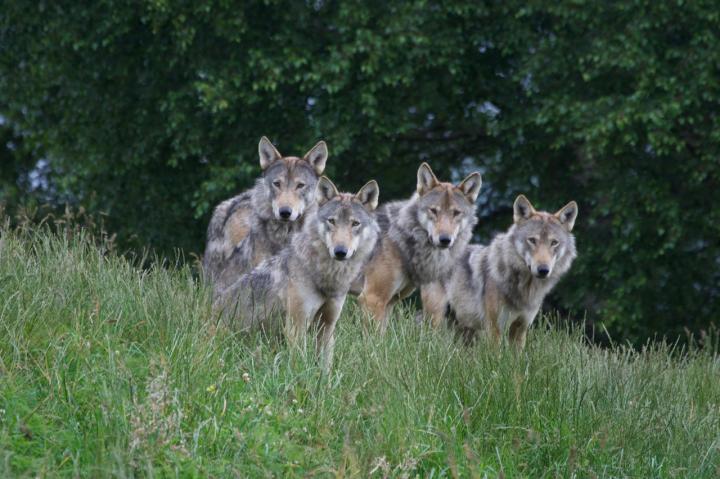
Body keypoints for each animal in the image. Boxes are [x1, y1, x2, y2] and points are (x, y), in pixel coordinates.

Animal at [215, 176, 380, 370]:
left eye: (355, 224)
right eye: (332, 221)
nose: (340, 251)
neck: (325, 276)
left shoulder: (327, 326)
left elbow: (326, 366)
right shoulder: (296, 327)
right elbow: (299, 365)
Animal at [358, 162, 481, 331]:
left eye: (456, 213)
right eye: (433, 210)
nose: (445, 239)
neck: (401, 240)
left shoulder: (389, 302)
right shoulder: (372, 298)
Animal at [444, 194, 578, 349]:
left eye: (554, 243)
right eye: (532, 240)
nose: (543, 270)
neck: (524, 289)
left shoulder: (520, 329)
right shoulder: (494, 328)